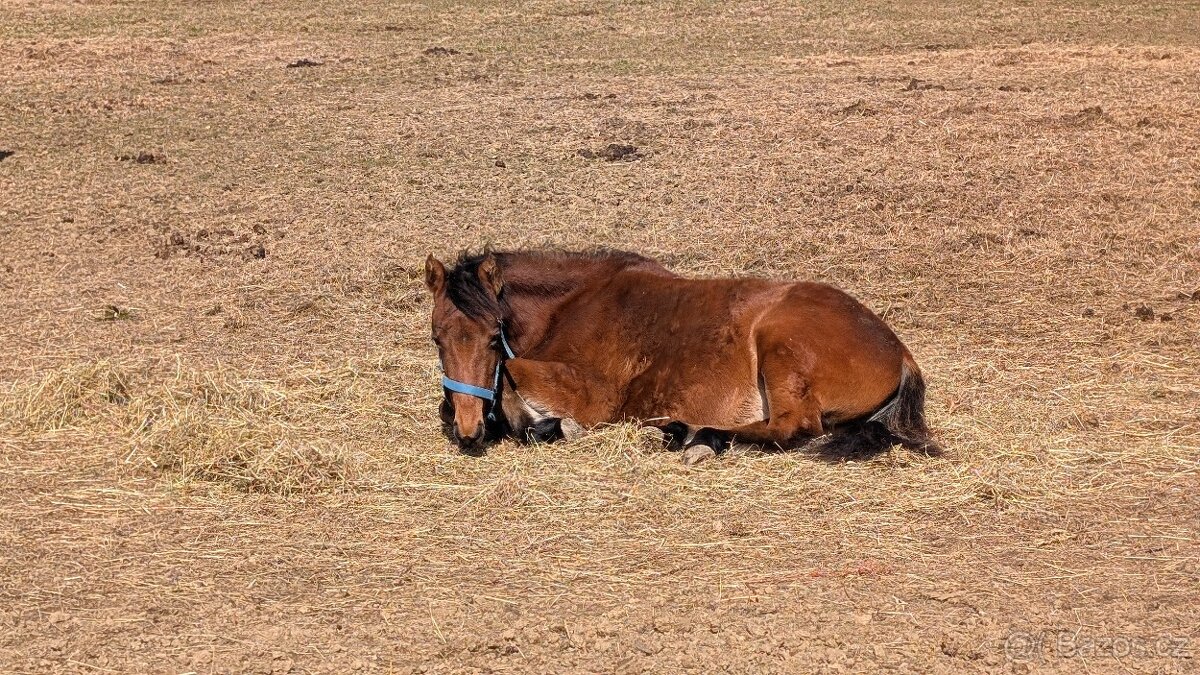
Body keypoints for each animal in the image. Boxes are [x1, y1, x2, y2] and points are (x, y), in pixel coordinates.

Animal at [425, 249, 938, 463]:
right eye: (436, 339)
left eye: (494, 338)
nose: (469, 433)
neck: (573, 305)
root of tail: (900, 352)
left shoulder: (598, 398)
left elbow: (512, 380)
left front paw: (549, 426)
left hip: (781, 348)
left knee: (794, 428)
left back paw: (696, 436)